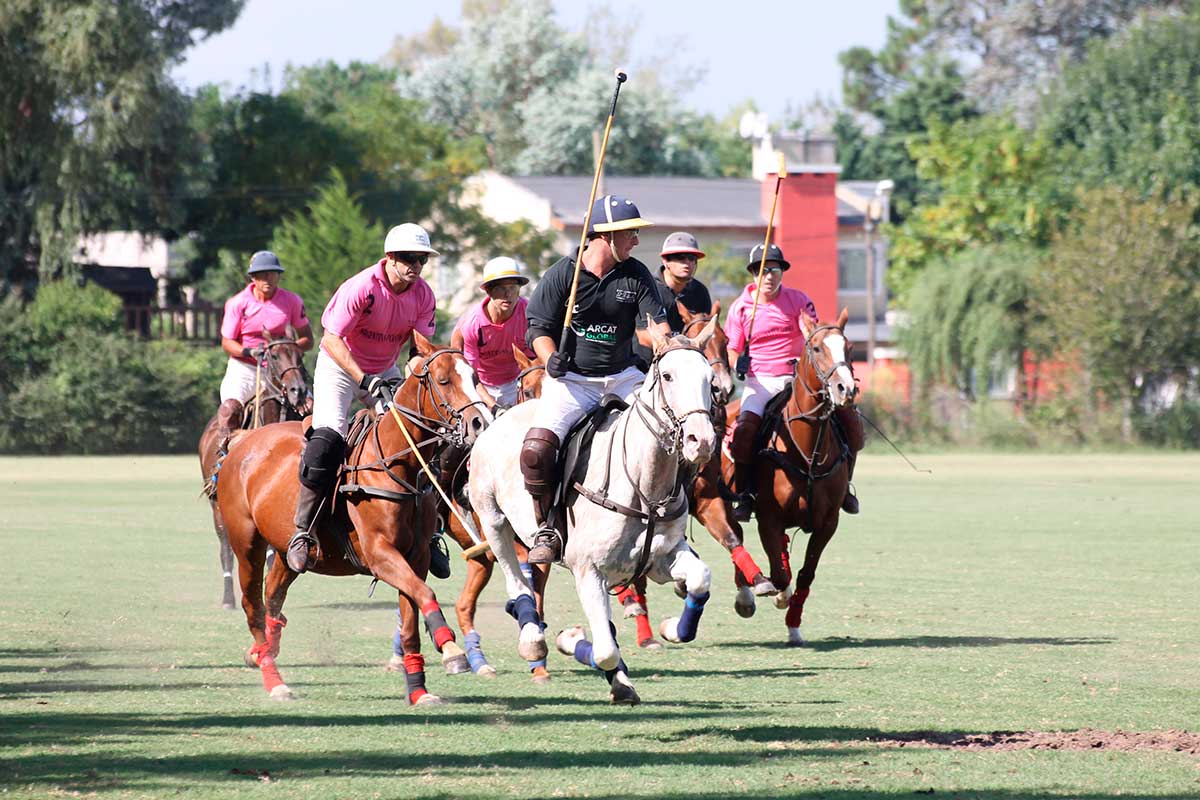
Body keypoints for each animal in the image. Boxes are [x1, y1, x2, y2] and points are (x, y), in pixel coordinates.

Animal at [199, 331, 309, 606]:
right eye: (273, 355)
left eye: (300, 355)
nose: (299, 390)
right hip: (218, 505)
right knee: (225, 547)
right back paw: (228, 597)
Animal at [218, 335, 489, 705]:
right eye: (444, 380)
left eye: (475, 376)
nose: (480, 423)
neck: (398, 463)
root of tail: (242, 442)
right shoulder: (379, 554)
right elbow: (425, 593)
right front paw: (452, 650)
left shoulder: (415, 557)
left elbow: (411, 617)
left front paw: (418, 689)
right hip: (246, 544)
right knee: (253, 607)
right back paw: (274, 680)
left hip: (285, 552)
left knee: (274, 597)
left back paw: (263, 653)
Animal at [468, 321, 715, 705]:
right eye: (668, 376)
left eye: (710, 379)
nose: (700, 441)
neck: (645, 487)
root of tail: (502, 415)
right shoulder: (588, 570)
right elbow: (605, 651)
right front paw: (574, 644)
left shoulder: (661, 559)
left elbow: (700, 579)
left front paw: (672, 628)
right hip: (492, 517)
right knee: (515, 578)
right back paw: (532, 639)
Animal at [720, 309, 864, 647]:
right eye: (817, 348)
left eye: (850, 349)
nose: (846, 390)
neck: (808, 451)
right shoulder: (768, 518)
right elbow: (781, 575)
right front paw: (777, 596)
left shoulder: (828, 523)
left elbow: (805, 574)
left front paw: (794, 625)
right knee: (736, 532)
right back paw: (746, 597)